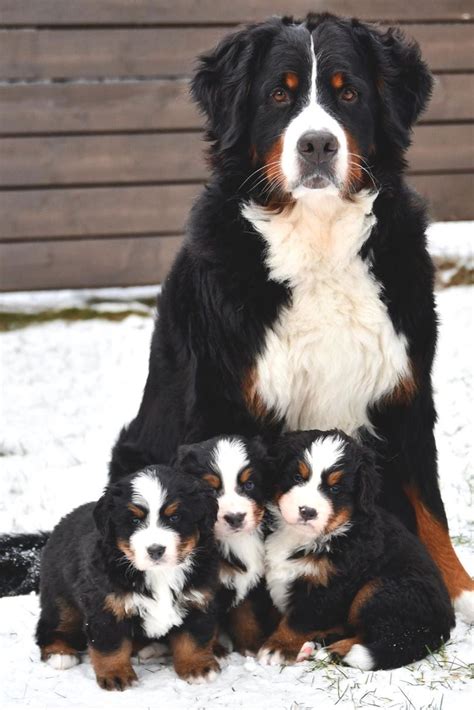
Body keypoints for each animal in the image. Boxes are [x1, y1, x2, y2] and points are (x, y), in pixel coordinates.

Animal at [36, 468, 220, 688]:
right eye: (134, 521)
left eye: (175, 517)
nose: (155, 550)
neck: (159, 573)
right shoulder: (106, 606)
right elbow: (111, 646)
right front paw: (116, 675)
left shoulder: (197, 599)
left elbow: (193, 639)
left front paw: (198, 668)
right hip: (60, 596)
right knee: (52, 625)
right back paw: (61, 654)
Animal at [176, 436, 276, 660]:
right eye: (212, 490)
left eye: (249, 485)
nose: (235, 517)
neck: (235, 541)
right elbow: (208, 624)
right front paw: (214, 650)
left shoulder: (252, 581)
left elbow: (247, 616)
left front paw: (251, 646)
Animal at [260, 428, 456, 672]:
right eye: (297, 477)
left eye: (335, 489)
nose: (307, 511)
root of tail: (442, 626)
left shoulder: (329, 586)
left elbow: (299, 621)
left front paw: (277, 648)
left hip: (381, 589)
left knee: (387, 636)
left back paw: (334, 651)